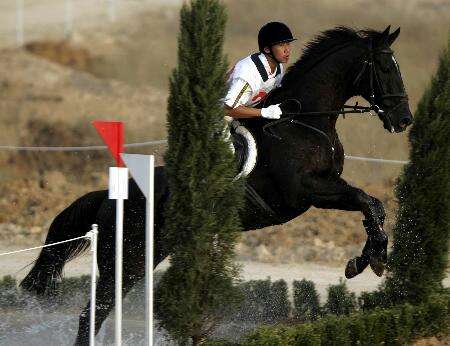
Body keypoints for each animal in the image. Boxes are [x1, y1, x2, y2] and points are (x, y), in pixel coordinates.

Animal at [20, 25, 412, 344]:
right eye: (385, 68)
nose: (404, 120)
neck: (303, 122)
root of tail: (107, 197)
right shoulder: (307, 191)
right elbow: (365, 200)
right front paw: (371, 259)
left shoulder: (328, 185)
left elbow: (372, 204)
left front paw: (369, 258)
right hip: (125, 259)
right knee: (92, 313)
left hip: (145, 256)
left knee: (98, 312)